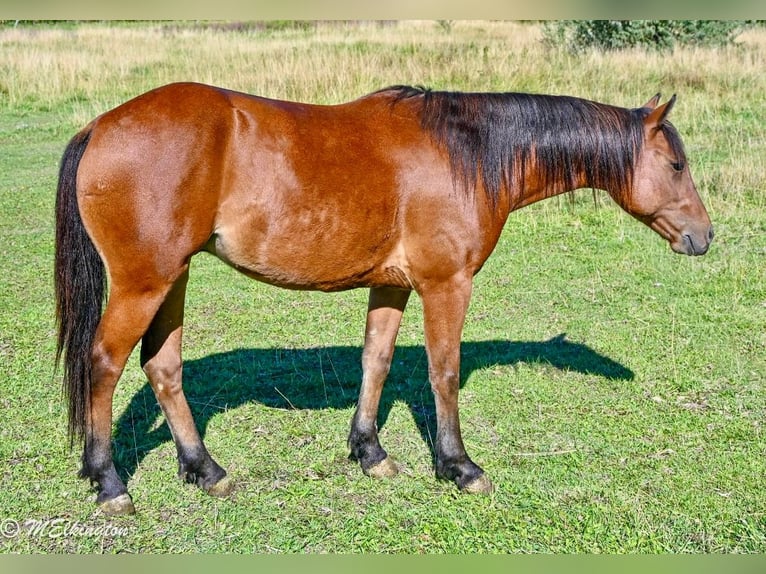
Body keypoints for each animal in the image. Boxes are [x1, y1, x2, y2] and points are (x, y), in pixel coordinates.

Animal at [54, 82, 713, 515]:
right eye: (676, 164)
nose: (704, 236)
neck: (466, 154)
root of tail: (100, 126)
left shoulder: (392, 283)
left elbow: (376, 360)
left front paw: (369, 452)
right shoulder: (447, 284)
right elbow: (443, 372)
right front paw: (459, 466)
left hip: (174, 277)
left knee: (162, 366)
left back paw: (205, 470)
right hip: (144, 283)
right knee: (103, 364)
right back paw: (109, 482)